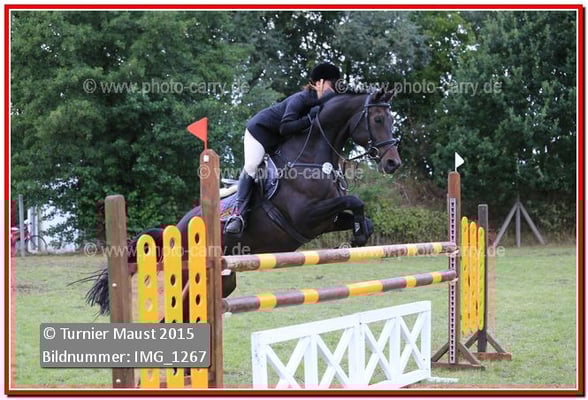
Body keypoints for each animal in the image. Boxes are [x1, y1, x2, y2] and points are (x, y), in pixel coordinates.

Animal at [85, 90, 401, 316]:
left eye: (391, 120)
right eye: (377, 120)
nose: (393, 163)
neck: (313, 157)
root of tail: (176, 226)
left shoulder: (325, 222)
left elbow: (357, 211)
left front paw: (360, 234)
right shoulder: (306, 216)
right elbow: (354, 200)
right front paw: (359, 235)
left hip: (224, 280)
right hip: (192, 274)